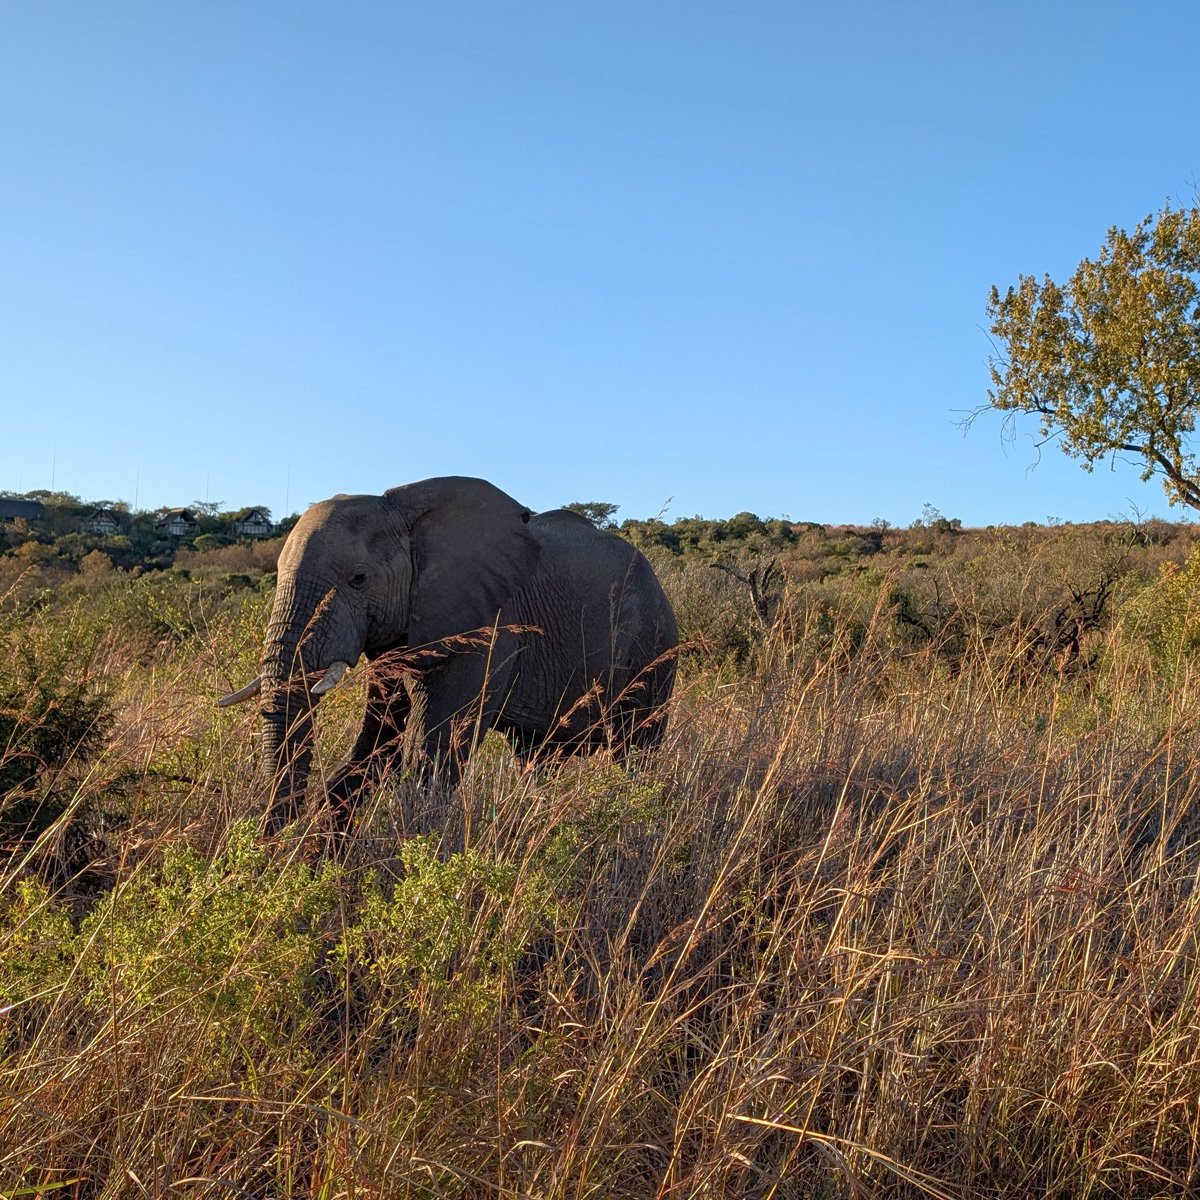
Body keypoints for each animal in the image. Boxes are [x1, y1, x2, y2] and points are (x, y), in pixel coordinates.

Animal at [218, 476, 678, 832]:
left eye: (358, 579)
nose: (271, 845)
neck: (403, 511)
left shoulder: (488, 625)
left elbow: (434, 752)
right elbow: (381, 737)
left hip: (653, 648)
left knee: (636, 749)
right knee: (538, 756)